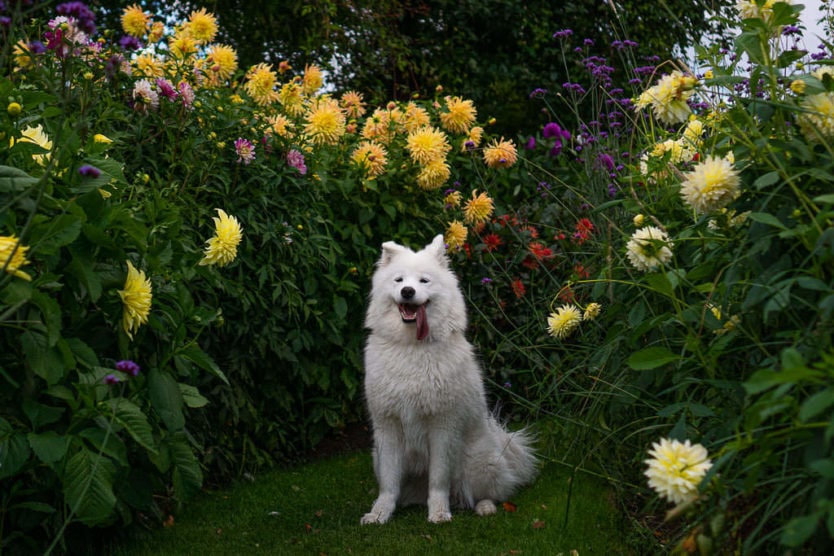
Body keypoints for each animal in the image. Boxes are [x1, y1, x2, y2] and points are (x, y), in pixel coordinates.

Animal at [360, 235, 536, 524]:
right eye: (399, 280)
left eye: (424, 281)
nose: (407, 291)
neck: (412, 348)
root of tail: (501, 440)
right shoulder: (388, 426)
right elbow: (388, 482)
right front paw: (379, 513)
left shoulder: (442, 427)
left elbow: (439, 479)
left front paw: (439, 513)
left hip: (477, 462)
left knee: (489, 493)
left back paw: (484, 507)